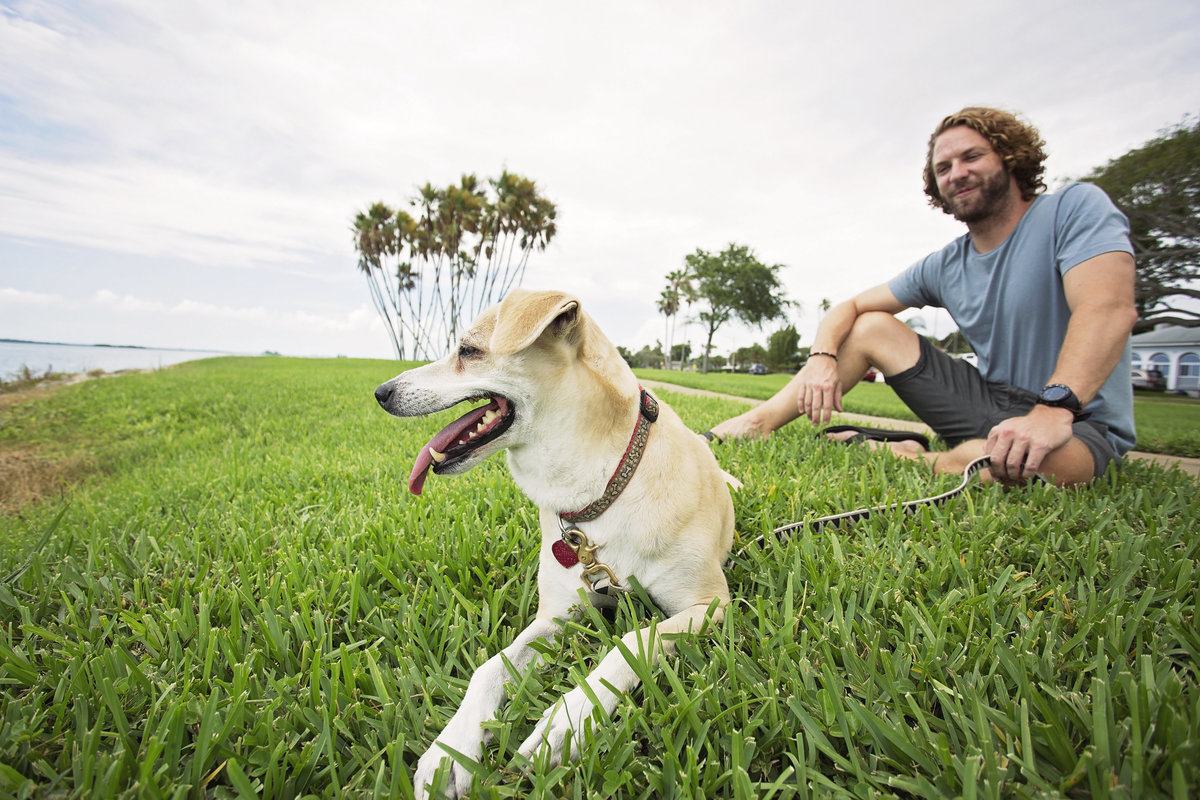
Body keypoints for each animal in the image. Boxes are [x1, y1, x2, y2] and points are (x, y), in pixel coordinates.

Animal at [374, 289, 734, 800]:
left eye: (468, 351)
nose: (381, 393)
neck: (601, 489)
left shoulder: (710, 605)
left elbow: (634, 639)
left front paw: (567, 722)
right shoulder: (558, 616)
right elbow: (490, 668)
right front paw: (451, 750)